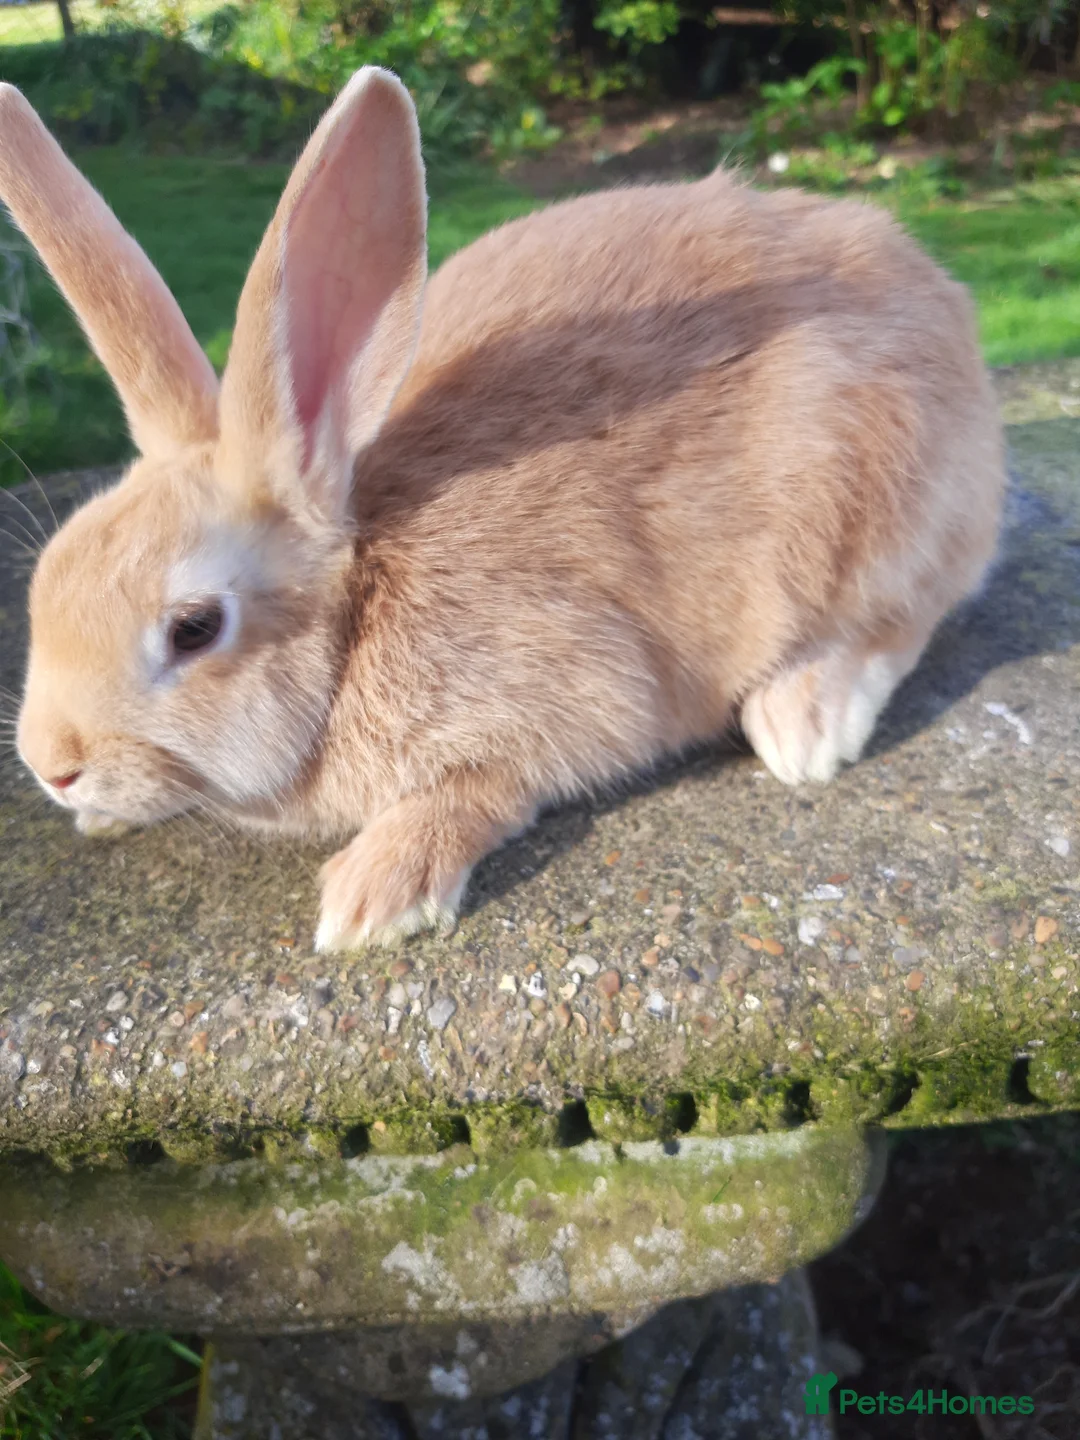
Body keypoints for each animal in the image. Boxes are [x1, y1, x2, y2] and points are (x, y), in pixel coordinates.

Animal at [1, 68, 1005, 952]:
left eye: (194, 628)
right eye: (46, 578)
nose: (52, 768)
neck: (358, 614)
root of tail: (939, 299)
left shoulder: (570, 694)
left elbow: (483, 789)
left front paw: (374, 897)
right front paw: (100, 823)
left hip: (871, 501)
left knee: (906, 615)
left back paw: (804, 724)